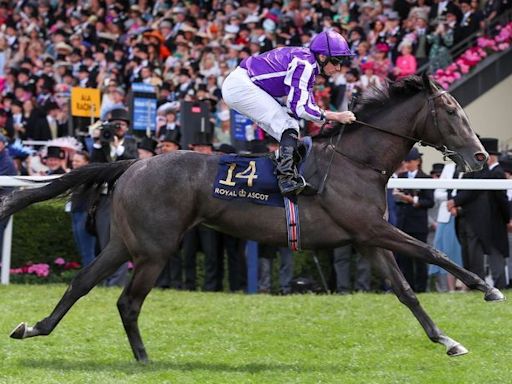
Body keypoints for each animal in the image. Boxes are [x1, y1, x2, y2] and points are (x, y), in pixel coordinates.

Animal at [2, 74, 502, 364]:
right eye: (452, 111)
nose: (480, 156)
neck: (357, 161)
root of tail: (133, 165)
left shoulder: (367, 239)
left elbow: (406, 291)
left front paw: (448, 340)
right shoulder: (373, 229)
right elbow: (434, 252)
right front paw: (488, 288)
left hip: (126, 242)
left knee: (82, 281)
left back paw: (35, 327)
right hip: (154, 248)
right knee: (126, 301)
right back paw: (144, 359)